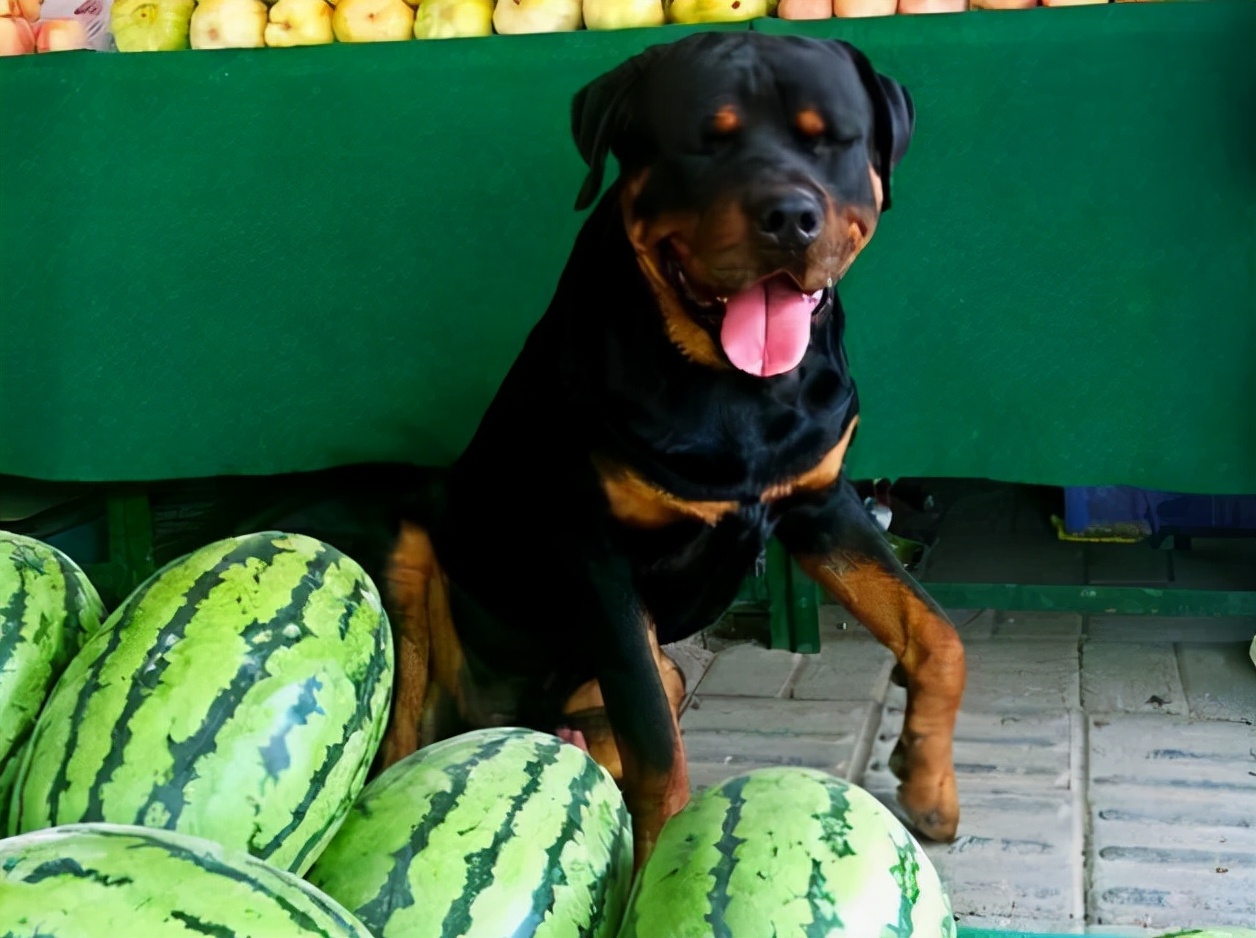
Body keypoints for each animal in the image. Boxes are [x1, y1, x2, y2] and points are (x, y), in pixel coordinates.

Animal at [270, 32, 964, 868]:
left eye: (829, 138)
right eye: (705, 140)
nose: (790, 217)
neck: (734, 389)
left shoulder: (821, 504)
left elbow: (937, 632)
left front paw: (927, 781)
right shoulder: (601, 556)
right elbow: (660, 751)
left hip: (652, 661)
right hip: (399, 545)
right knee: (397, 741)